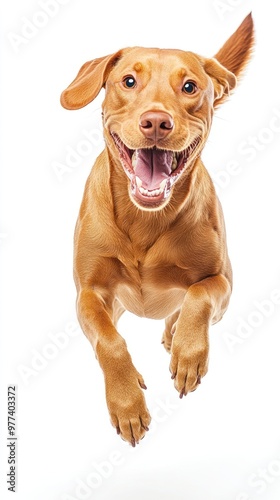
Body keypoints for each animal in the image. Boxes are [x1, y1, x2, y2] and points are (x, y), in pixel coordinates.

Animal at [60, 14, 254, 446]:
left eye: (190, 87)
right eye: (129, 81)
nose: (155, 122)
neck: (144, 219)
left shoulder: (224, 283)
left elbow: (199, 295)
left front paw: (188, 353)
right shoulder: (89, 294)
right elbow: (109, 341)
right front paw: (126, 402)